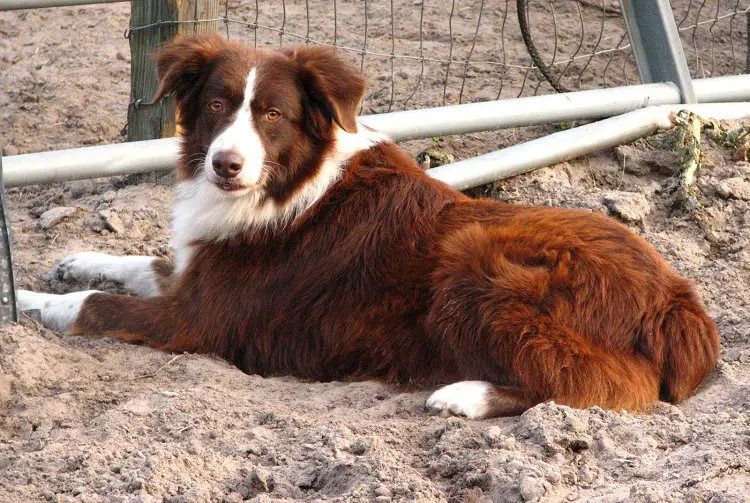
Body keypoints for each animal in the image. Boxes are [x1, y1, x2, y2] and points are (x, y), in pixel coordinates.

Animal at [19, 35, 724, 420]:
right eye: (217, 105)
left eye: (273, 114)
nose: (225, 164)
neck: (288, 184)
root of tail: (679, 300)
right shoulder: (195, 274)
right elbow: (139, 263)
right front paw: (69, 259)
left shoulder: (199, 321)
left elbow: (92, 306)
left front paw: (23, 301)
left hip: (476, 263)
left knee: (604, 386)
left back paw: (463, 395)